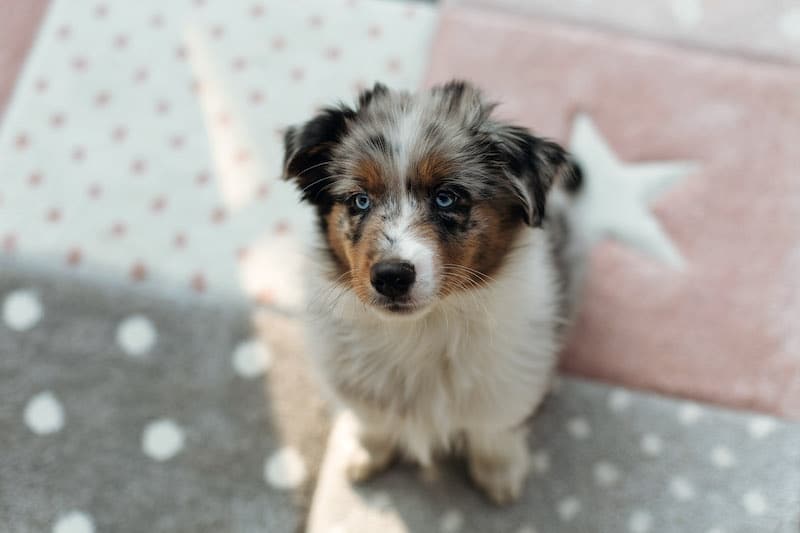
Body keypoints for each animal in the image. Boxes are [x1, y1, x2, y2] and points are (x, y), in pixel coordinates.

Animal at [282, 79, 580, 502]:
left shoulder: (506, 381)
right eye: (360, 200)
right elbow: (374, 423)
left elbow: (494, 432)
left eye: (446, 197)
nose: (391, 276)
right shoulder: (356, 385)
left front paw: (499, 474)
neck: (420, 327)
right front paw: (365, 454)